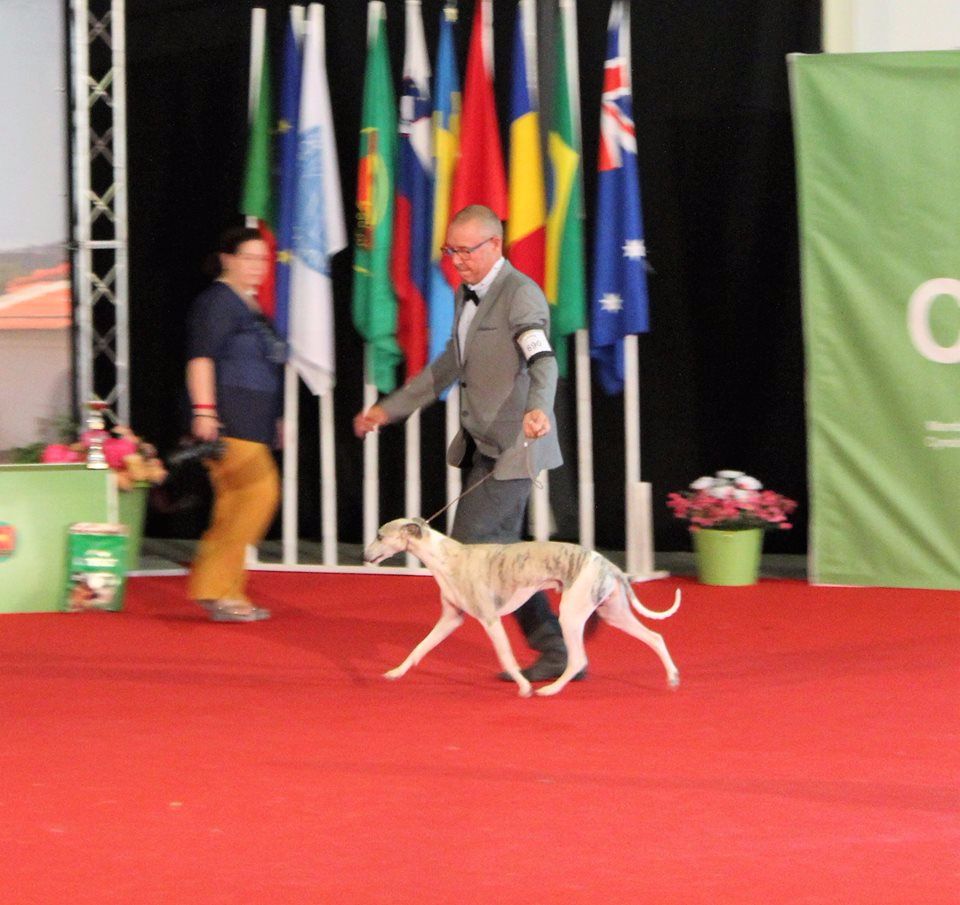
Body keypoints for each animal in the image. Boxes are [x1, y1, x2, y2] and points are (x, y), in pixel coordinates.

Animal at [362, 516, 684, 700]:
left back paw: (550, 689)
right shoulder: (450, 619)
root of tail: (609, 564)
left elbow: (506, 657)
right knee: (655, 637)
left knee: (578, 658)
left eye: (379, 535)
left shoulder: (490, 619)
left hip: (572, 615)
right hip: (613, 613)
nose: (365, 556)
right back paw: (672, 678)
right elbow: (419, 648)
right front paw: (395, 672)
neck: (446, 557)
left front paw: (524, 687)